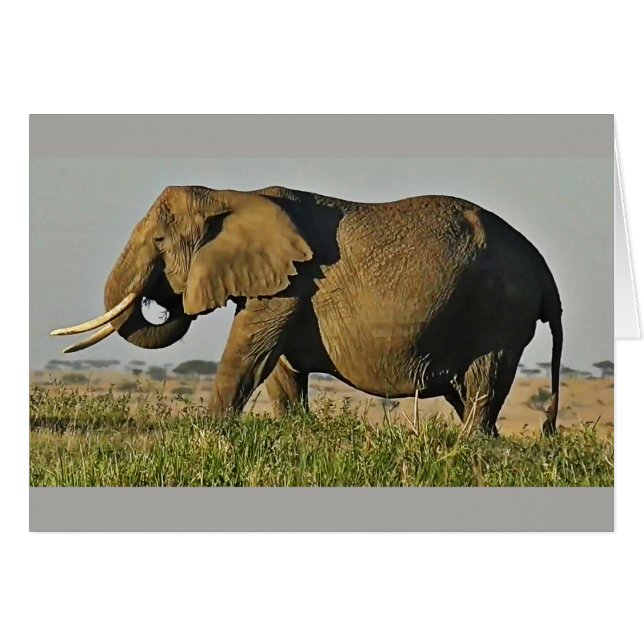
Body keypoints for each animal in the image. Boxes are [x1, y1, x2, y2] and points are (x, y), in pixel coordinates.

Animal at [52, 185, 563, 435]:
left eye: (159, 240)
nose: (161, 296)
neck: (231, 195)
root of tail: (544, 272)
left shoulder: (293, 283)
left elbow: (247, 354)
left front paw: (208, 435)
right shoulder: (278, 284)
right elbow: (279, 367)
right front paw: (298, 433)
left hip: (499, 313)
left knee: (484, 381)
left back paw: (466, 449)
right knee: (468, 390)